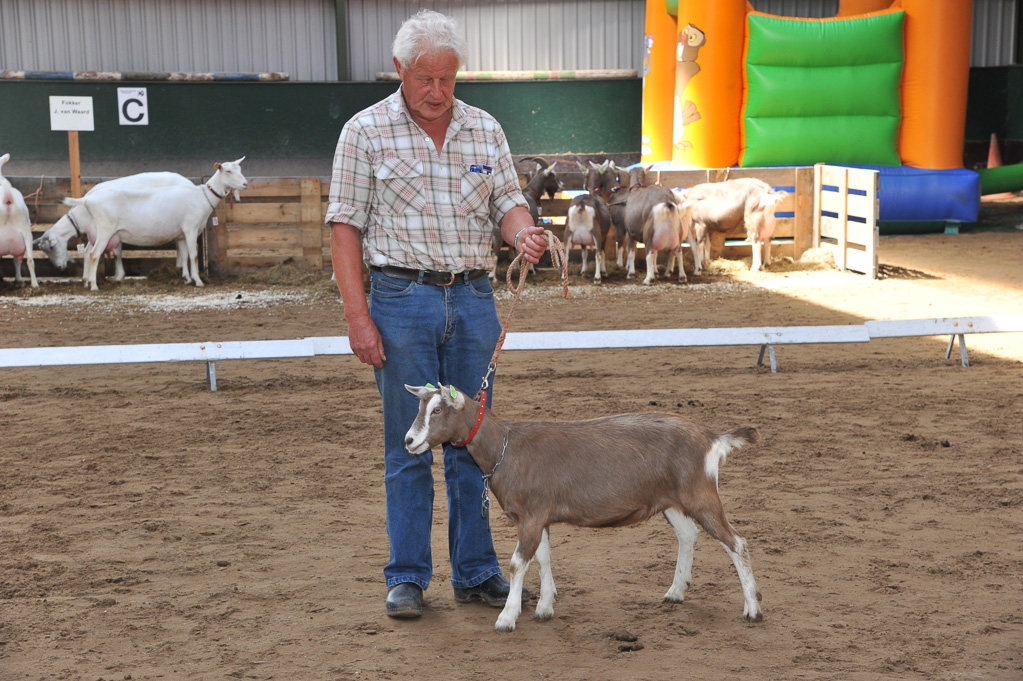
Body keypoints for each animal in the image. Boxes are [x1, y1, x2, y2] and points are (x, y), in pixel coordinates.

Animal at [64, 157, 247, 288]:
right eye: (228, 171)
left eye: (239, 169)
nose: (245, 184)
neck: (202, 196)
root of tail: (88, 199)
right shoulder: (191, 229)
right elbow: (194, 255)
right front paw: (198, 281)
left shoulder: (181, 234)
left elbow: (184, 255)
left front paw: (187, 278)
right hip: (105, 229)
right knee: (94, 254)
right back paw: (94, 286)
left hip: (97, 230)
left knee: (88, 252)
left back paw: (87, 281)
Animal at [403, 382, 765, 629]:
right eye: (420, 408)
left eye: (437, 410)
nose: (408, 440)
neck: (506, 447)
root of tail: (712, 438)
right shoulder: (537, 515)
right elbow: (543, 557)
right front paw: (545, 607)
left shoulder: (532, 515)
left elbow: (518, 563)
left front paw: (508, 617)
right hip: (671, 499)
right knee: (688, 535)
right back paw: (676, 591)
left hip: (700, 494)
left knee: (737, 543)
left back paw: (752, 608)